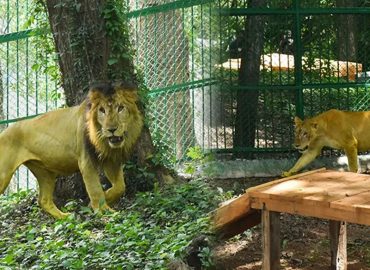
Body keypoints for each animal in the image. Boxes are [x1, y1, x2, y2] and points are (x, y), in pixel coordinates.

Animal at [0, 81, 143, 218]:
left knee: (44, 200)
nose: (111, 129)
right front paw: (103, 210)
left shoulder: (110, 160)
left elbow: (120, 187)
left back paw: (65, 217)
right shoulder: (86, 161)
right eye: (102, 110)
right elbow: (95, 188)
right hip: (4, 174)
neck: (102, 140)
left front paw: (103, 200)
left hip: (45, 173)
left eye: (120, 108)